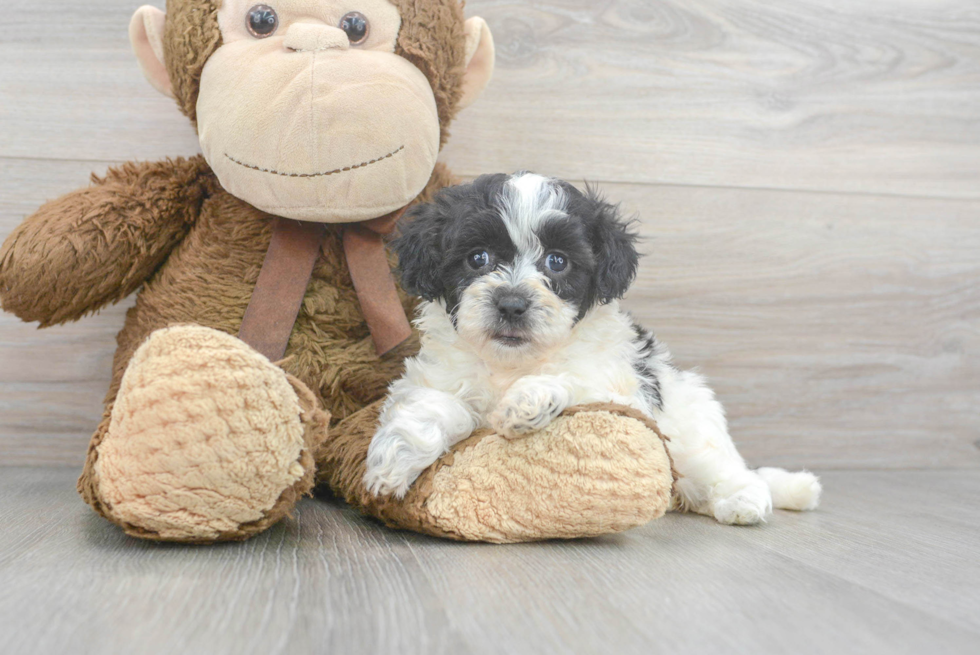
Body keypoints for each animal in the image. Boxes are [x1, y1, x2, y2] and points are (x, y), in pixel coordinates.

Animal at [364, 172, 824, 524]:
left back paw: (744, 501)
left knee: (730, 470)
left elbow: (575, 381)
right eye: (478, 258)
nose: (511, 303)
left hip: (694, 433)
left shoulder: (620, 392)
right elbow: (438, 406)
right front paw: (394, 461)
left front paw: (528, 402)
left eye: (557, 261)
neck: (512, 364)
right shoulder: (434, 376)